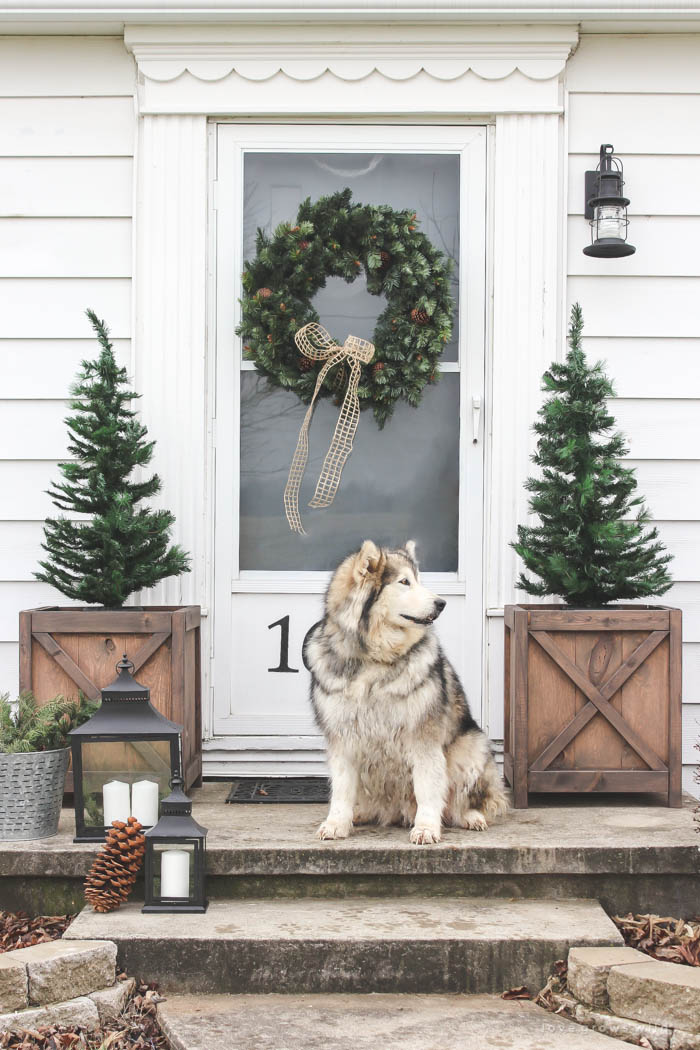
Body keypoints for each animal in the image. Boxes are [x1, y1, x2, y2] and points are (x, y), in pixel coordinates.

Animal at [304, 541, 505, 844]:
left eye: (419, 580)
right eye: (404, 582)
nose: (441, 603)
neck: (373, 659)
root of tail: (399, 812)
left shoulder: (423, 738)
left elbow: (428, 789)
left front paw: (426, 828)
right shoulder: (343, 739)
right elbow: (341, 789)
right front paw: (337, 823)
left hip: (471, 748)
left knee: (461, 802)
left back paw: (470, 816)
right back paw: (359, 814)